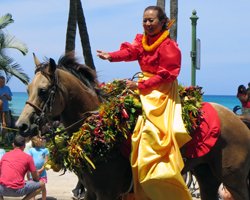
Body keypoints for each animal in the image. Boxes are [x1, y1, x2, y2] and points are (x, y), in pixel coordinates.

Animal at [15, 53, 250, 200]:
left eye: (43, 91)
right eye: (27, 89)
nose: (22, 125)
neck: (98, 133)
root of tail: (239, 120)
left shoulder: (107, 193)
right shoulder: (92, 192)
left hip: (234, 179)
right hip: (207, 175)